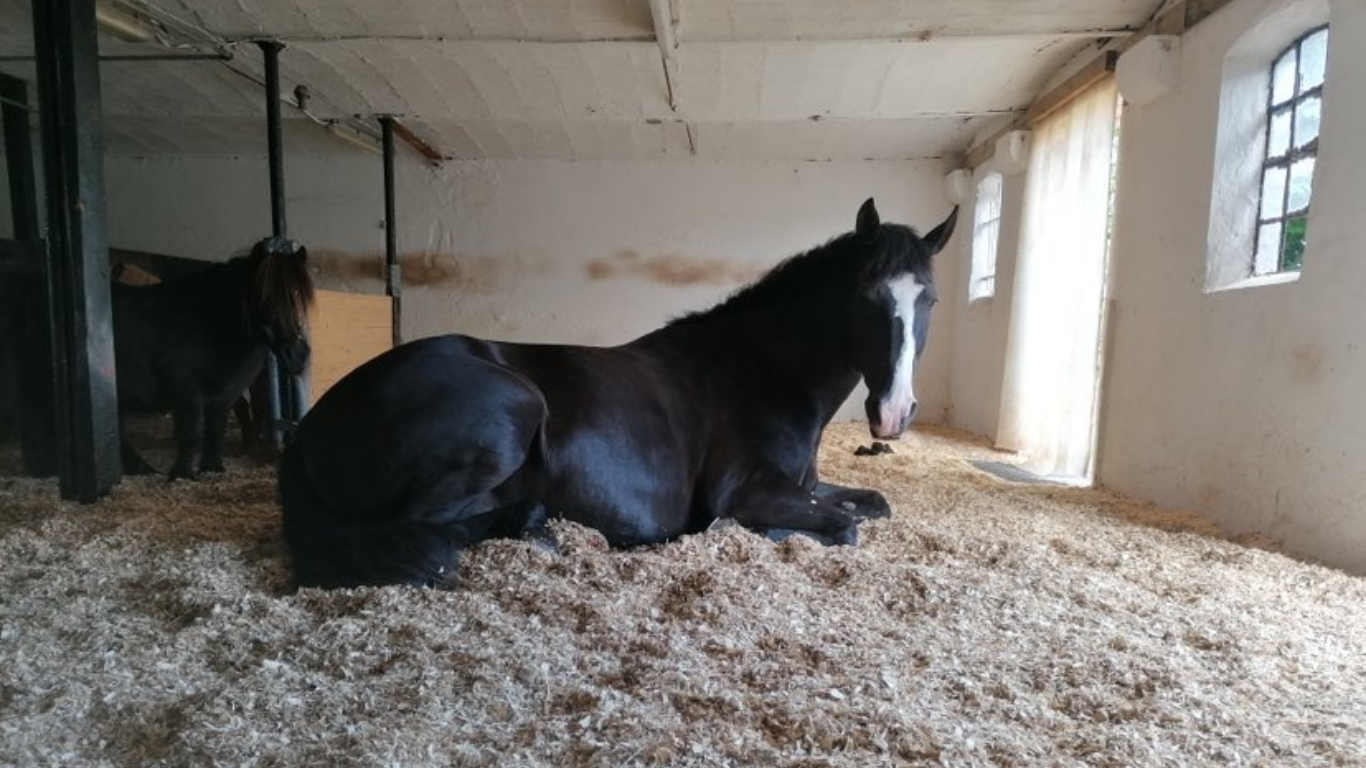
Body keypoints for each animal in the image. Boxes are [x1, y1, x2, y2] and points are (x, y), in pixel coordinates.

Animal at [114, 237, 314, 478]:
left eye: (299, 295)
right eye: (264, 297)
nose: (297, 355)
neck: (208, 322)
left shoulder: (225, 395)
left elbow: (216, 430)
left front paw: (212, 467)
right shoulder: (188, 393)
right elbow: (191, 434)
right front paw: (182, 474)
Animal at [282, 198, 956, 584]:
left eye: (929, 300)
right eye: (866, 297)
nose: (893, 414)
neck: (765, 369)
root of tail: (312, 427)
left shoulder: (807, 485)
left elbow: (870, 505)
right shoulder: (749, 491)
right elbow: (842, 527)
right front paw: (740, 532)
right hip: (512, 412)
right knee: (419, 529)